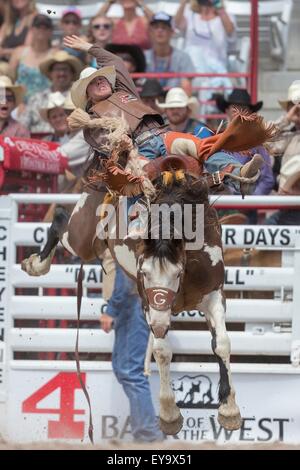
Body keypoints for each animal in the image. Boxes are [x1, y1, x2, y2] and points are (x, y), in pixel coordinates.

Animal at [21, 171, 241, 436]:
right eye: (144, 273)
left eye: (178, 273)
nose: (159, 326)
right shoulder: (148, 304)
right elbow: (162, 351)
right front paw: (169, 414)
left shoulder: (213, 295)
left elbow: (222, 344)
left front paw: (229, 409)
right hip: (81, 235)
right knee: (60, 220)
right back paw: (36, 263)